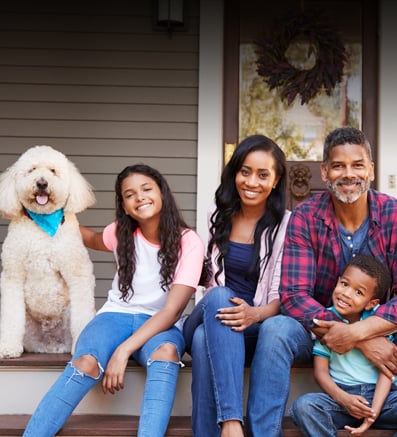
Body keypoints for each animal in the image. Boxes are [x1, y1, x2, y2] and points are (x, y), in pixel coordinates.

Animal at [0, 145, 96, 356]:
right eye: (32, 170)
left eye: (53, 171)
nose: (42, 183)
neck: (43, 224)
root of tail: (51, 344)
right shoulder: (13, 274)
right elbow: (10, 316)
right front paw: (8, 346)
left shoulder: (78, 273)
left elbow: (83, 314)